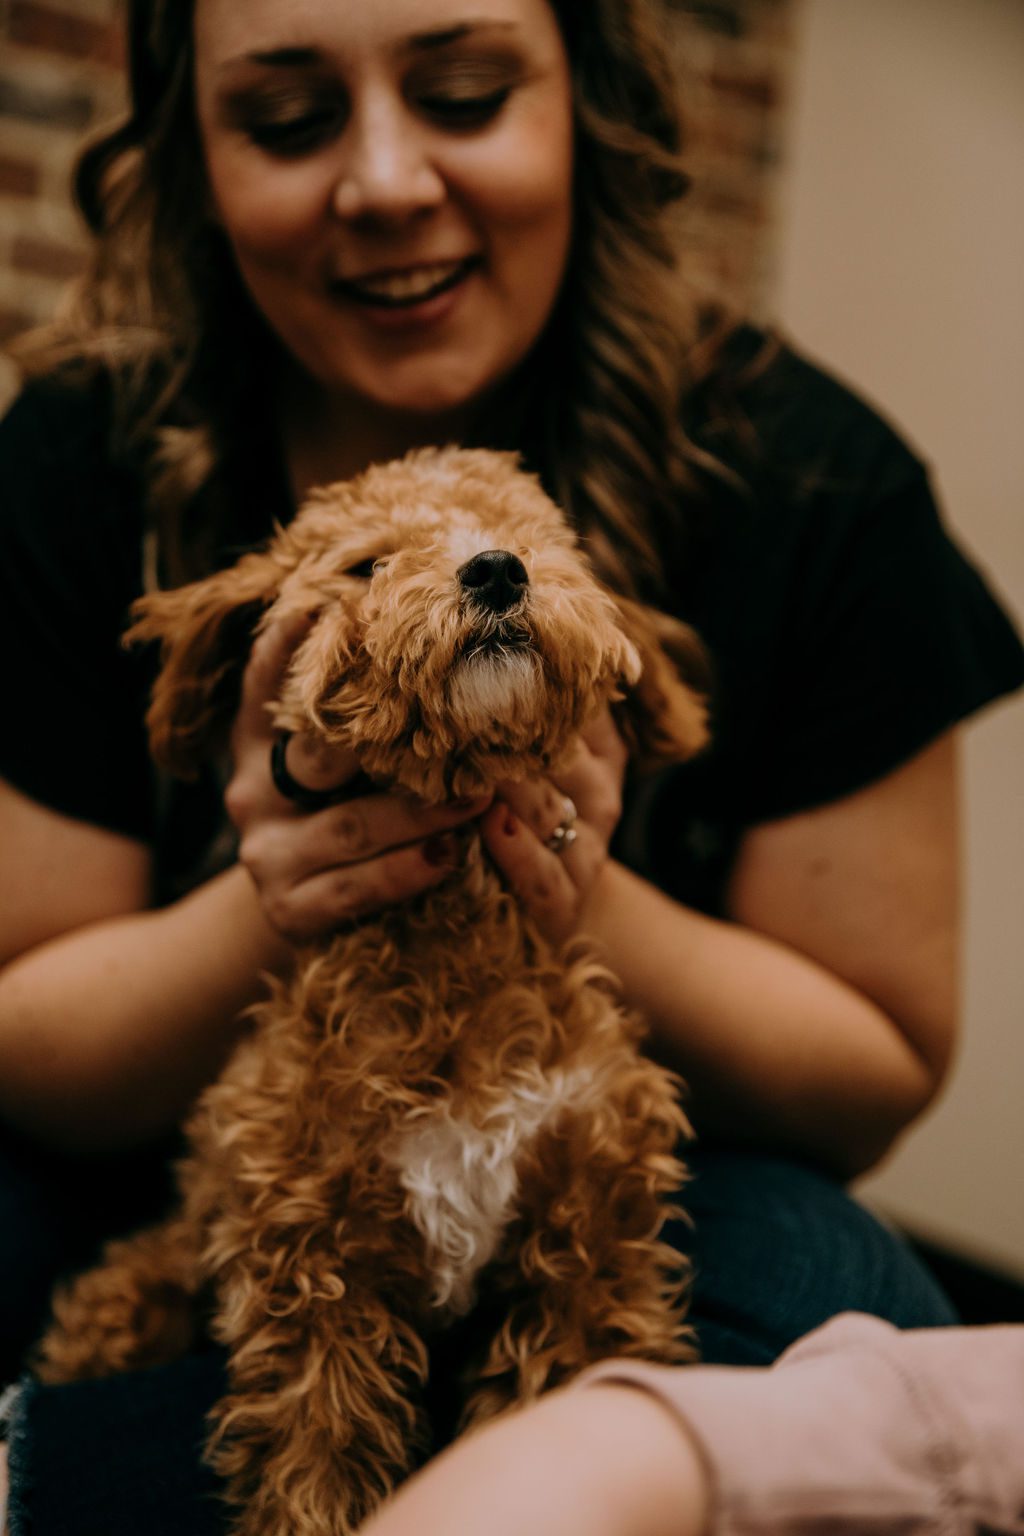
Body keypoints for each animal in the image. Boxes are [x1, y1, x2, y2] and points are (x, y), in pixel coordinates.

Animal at [42, 448, 712, 1536]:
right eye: (366, 563)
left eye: (536, 538)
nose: (495, 570)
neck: (454, 946)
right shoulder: (313, 1274)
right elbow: (316, 1464)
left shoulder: (584, 1257)